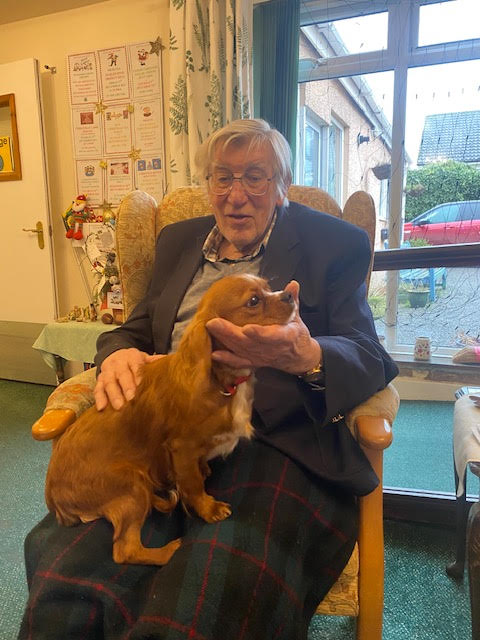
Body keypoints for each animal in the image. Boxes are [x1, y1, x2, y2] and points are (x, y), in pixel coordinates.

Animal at [45, 274, 296, 566]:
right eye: (254, 300)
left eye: (268, 287)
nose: (290, 294)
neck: (221, 381)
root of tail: (53, 496)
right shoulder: (181, 448)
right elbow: (193, 484)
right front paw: (208, 508)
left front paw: (204, 470)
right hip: (131, 485)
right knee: (125, 550)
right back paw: (171, 550)